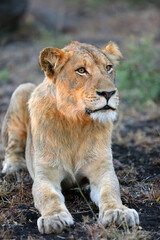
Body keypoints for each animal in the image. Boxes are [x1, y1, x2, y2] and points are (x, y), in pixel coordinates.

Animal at [0, 40, 139, 233]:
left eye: (108, 67)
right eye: (81, 70)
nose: (109, 93)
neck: (76, 122)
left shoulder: (102, 170)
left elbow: (111, 191)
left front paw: (119, 212)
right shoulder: (45, 176)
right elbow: (48, 197)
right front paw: (54, 218)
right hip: (22, 89)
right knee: (11, 147)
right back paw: (14, 166)